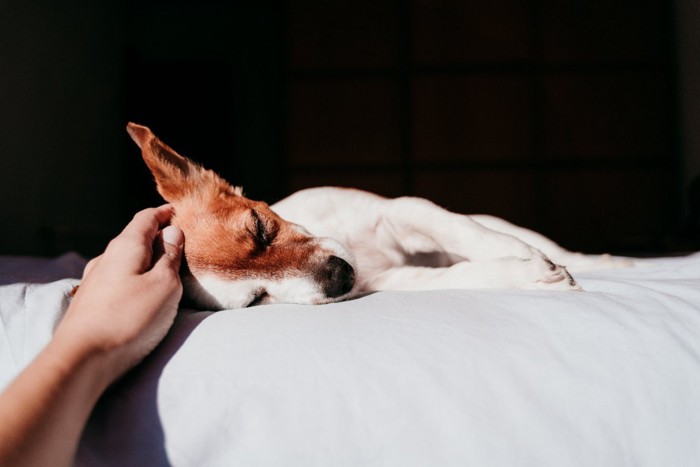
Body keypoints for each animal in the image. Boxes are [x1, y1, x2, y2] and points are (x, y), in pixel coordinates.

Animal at [127, 123, 636, 310]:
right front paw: (528, 274)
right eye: (256, 300)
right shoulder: (385, 278)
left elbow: (461, 230)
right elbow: (455, 276)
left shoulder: (398, 211)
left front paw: (524, 256)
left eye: (261, 227)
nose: (338, 276)